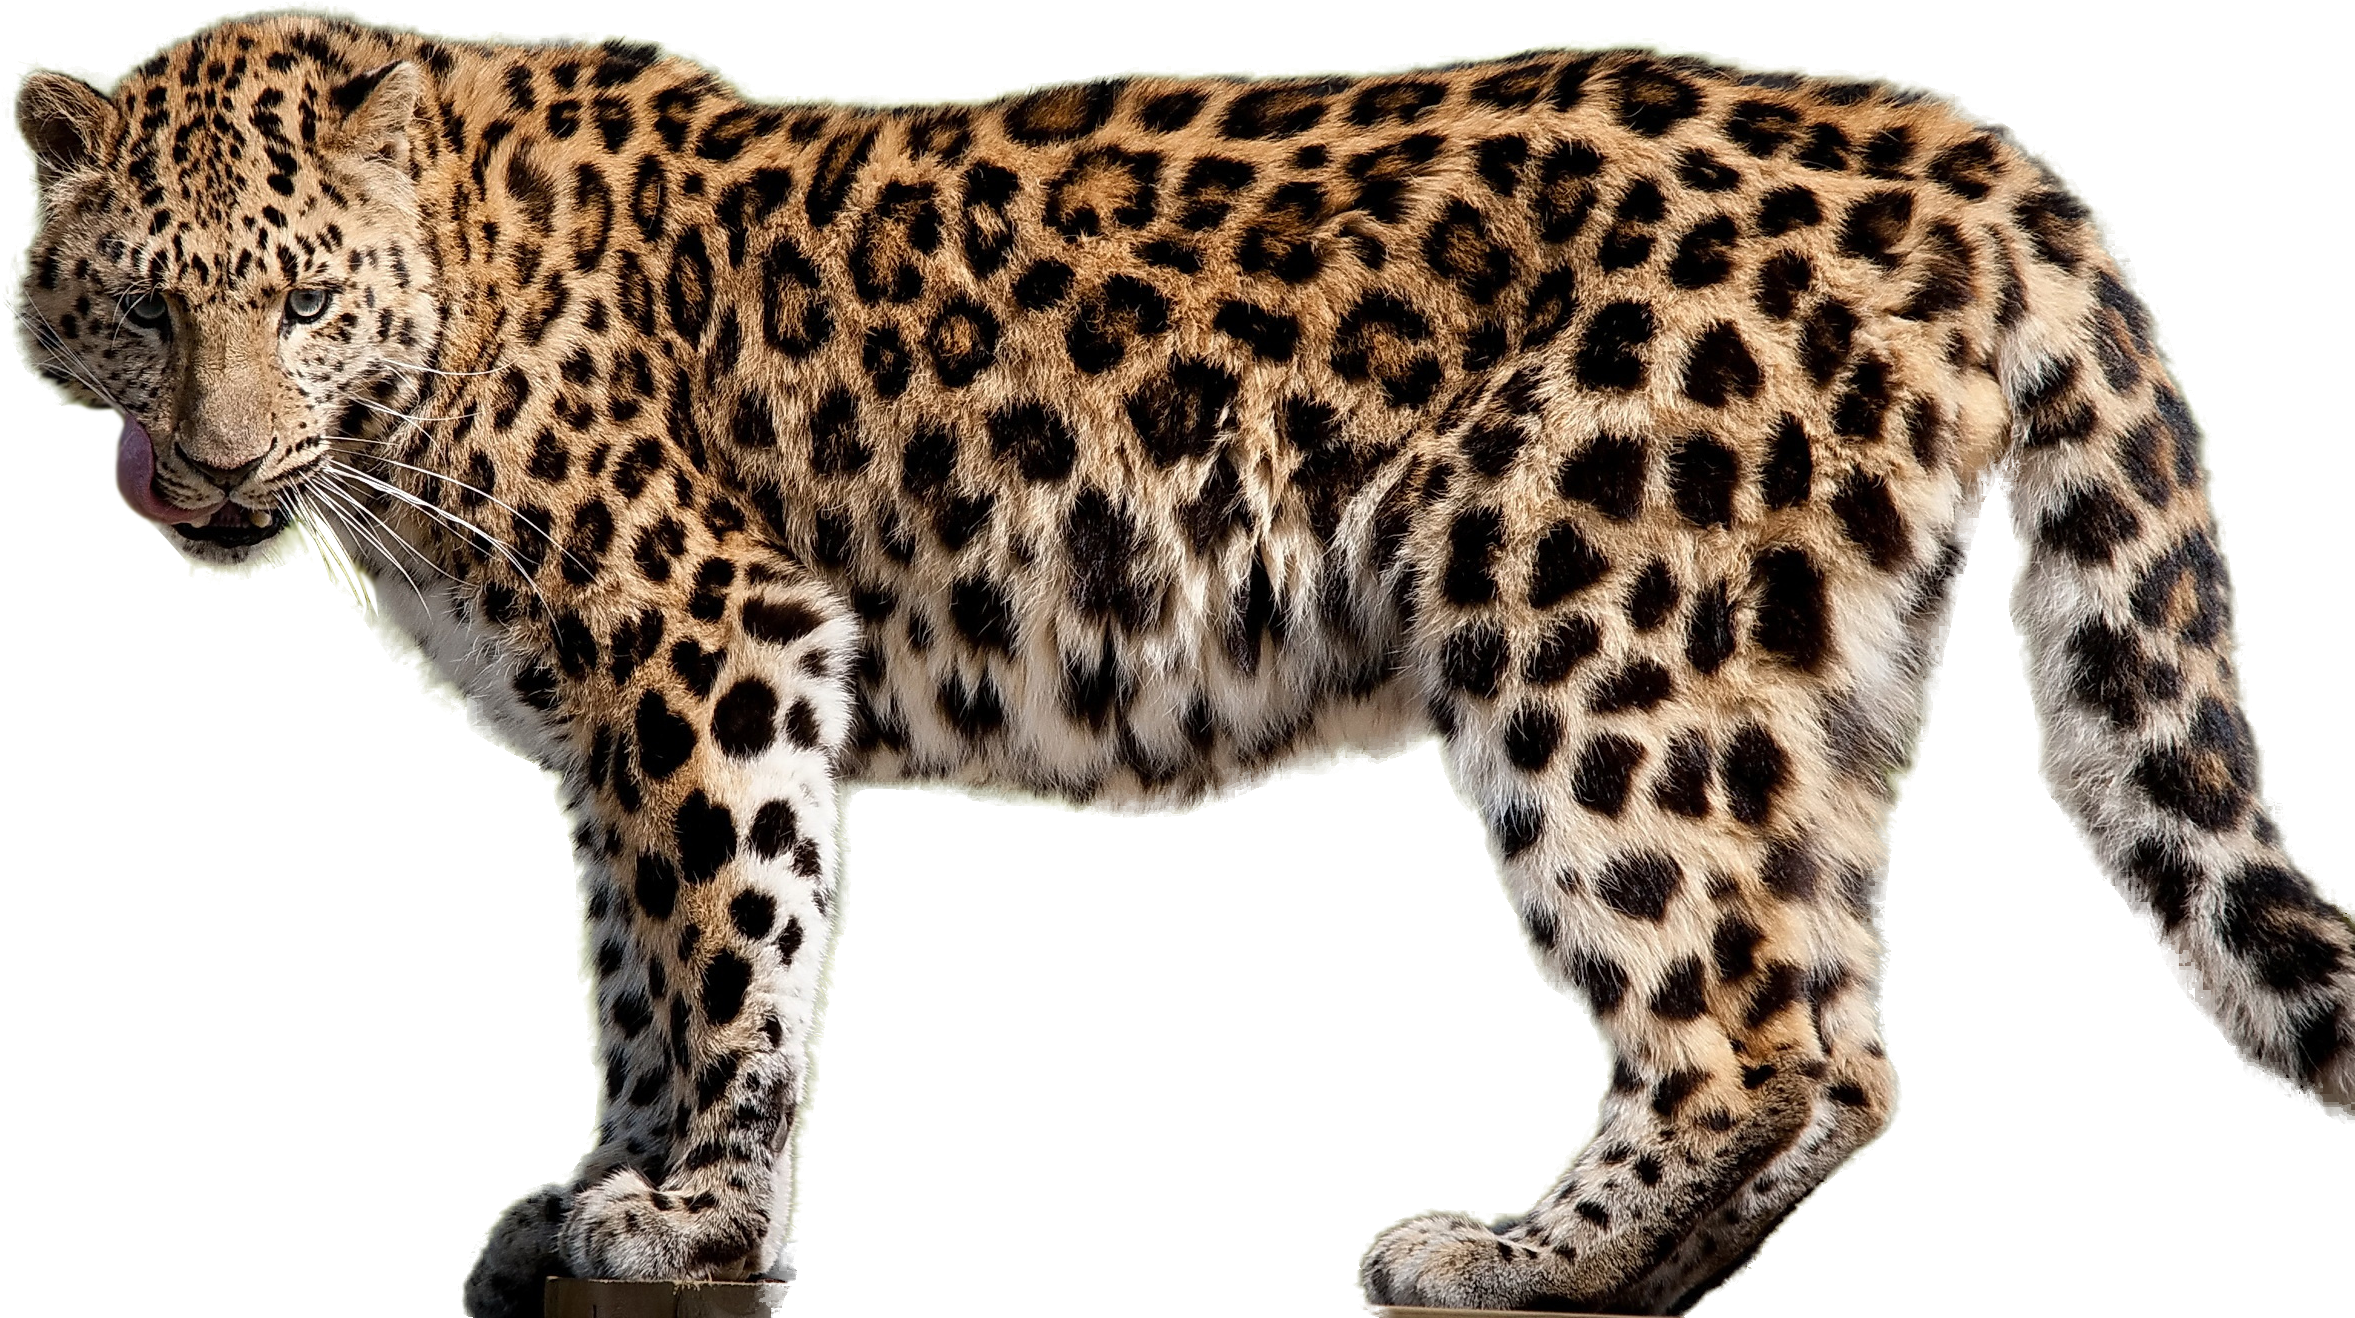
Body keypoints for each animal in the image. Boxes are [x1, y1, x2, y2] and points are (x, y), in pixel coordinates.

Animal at [13, 11, 2350, 1316]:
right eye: (140, 306)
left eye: (302, 304)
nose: (206, 466)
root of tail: (1976, 151)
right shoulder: (606, 727)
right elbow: (635, 972)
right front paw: (599, 1186)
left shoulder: (714, 642)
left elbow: (727, 945)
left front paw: (692, 1215)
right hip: (1793, 678)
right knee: (1842, 1029)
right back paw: (1637, 1274)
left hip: (1594, 628)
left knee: (1751, 1029)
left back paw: (1503, 1262)